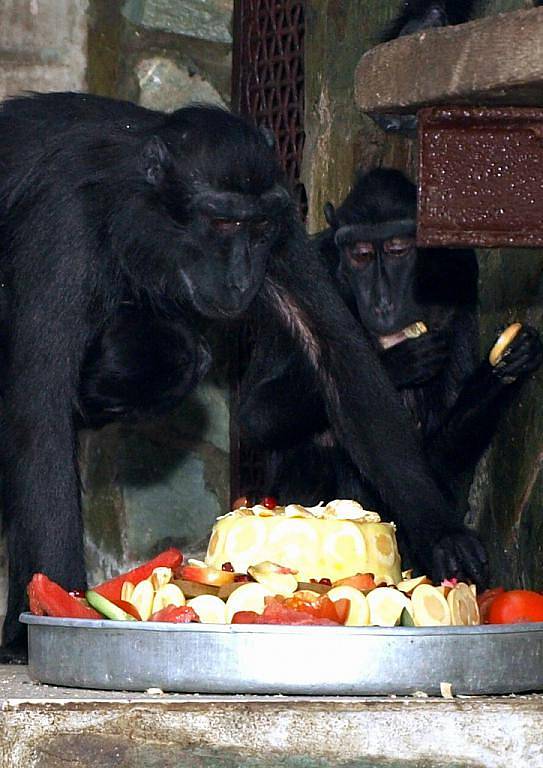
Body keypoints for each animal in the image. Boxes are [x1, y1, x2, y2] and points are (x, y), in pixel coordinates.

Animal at [0, 91, 478, 660]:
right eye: (223, 224)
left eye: (258, 229)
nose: (242, 276)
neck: (138, 202)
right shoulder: (65, 230)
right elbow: (39, 415)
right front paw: (59, 603)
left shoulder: (285, 220)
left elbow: (340, 358)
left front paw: (445, 535)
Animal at [243, 168, 543, 584]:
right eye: (361, 255)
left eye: (399, 250)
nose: (381, 302)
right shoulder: (306, 265)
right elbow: (256, 414)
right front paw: (395, 363)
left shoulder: (461, 277)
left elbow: (439, 454)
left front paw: (507, 364)